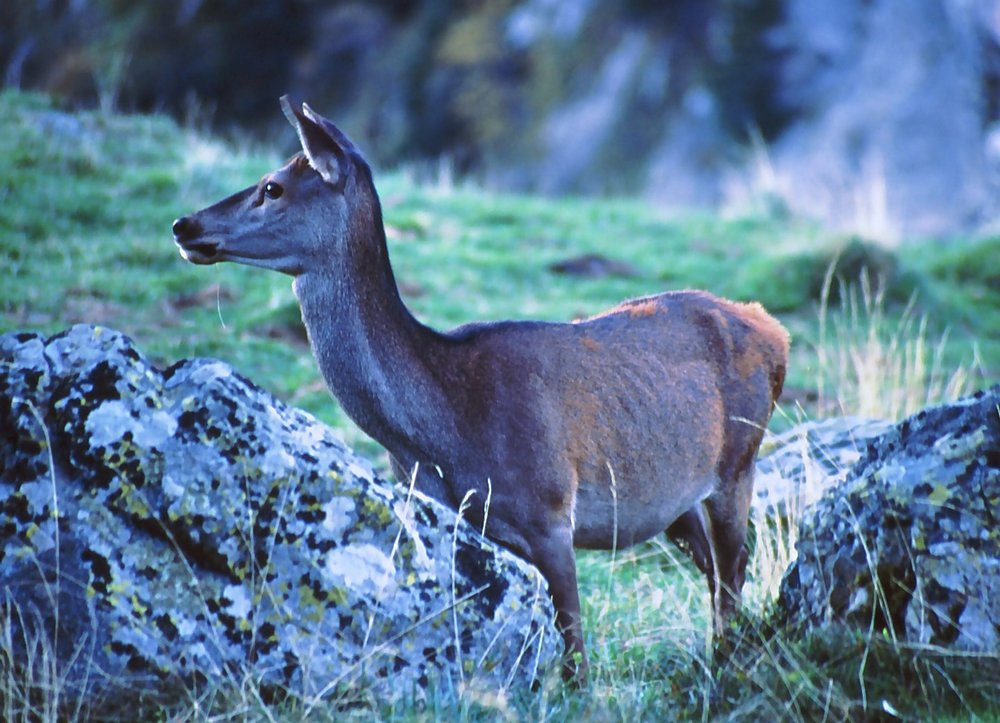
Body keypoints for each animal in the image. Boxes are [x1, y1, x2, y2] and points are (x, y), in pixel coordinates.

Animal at [172, 97, 788, 684]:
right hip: (672, 498)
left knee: (733, 568)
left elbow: (575, 652)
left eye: (272, 186)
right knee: (712, 569)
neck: (445, 432)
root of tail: (774, 329)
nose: (184, 225)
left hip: (740, 460)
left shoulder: (550, 514)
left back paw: (727, 662)